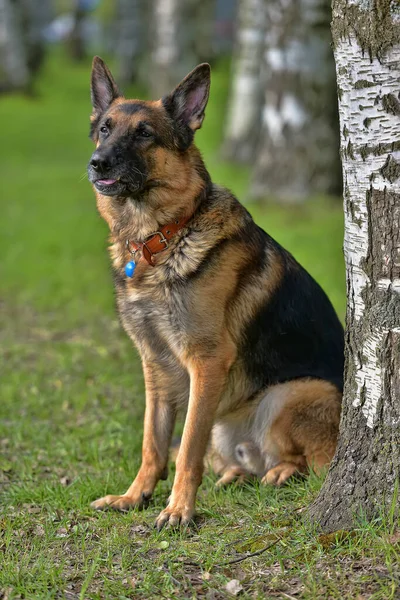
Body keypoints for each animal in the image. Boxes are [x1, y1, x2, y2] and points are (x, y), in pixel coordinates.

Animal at [87, 55, 344, 524]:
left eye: (144, 134)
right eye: (105, 129)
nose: (98, 162)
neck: (162, 236)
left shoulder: (206, 362)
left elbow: (187, 446)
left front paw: (178, 510)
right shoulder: (155, 365)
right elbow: (153, 442)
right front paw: (135, 496)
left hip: (292, 394)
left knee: (313, 463)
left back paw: (280, 472)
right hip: (227, 425)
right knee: (240, 462)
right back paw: (236, 475)